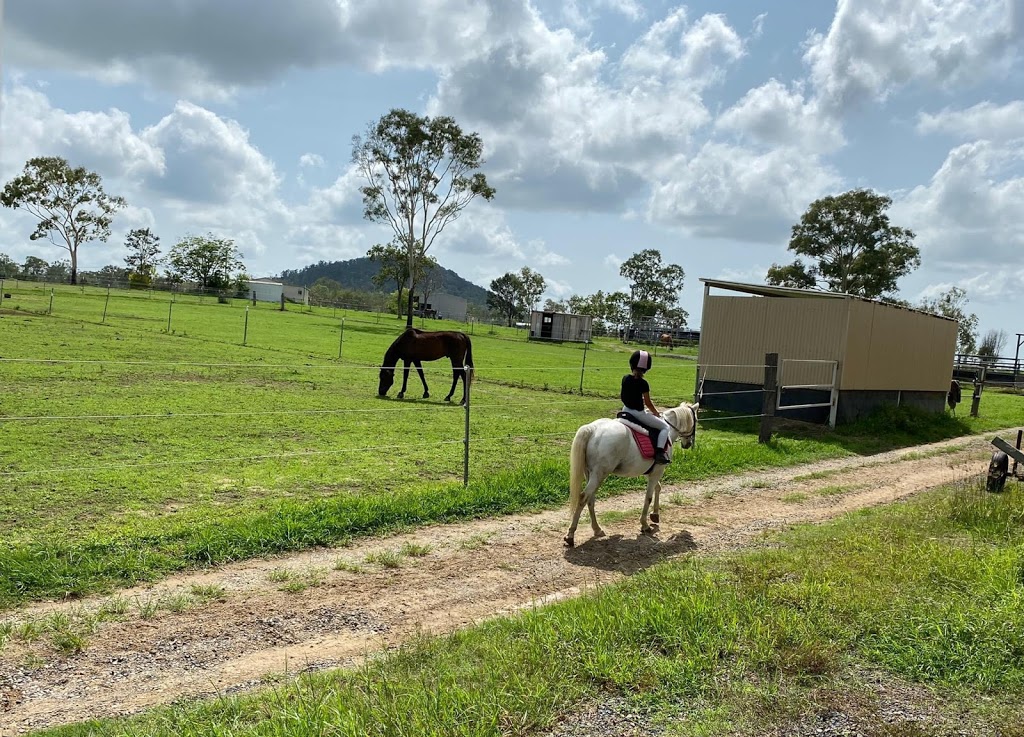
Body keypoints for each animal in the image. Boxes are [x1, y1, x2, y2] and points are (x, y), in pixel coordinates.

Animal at [565, 403, 700, 548]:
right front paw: (645, 525)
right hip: (598, 475)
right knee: (583, 497)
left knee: (590, 499)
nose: (688, 444)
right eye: (696, 421)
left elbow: (658, 488)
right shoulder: (658, 471)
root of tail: (592, 429)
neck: (668, 430)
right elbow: (648, 497)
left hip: (591, 474)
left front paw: (655, 515)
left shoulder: (651, 472)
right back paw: (570, 535)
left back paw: (597, 529)